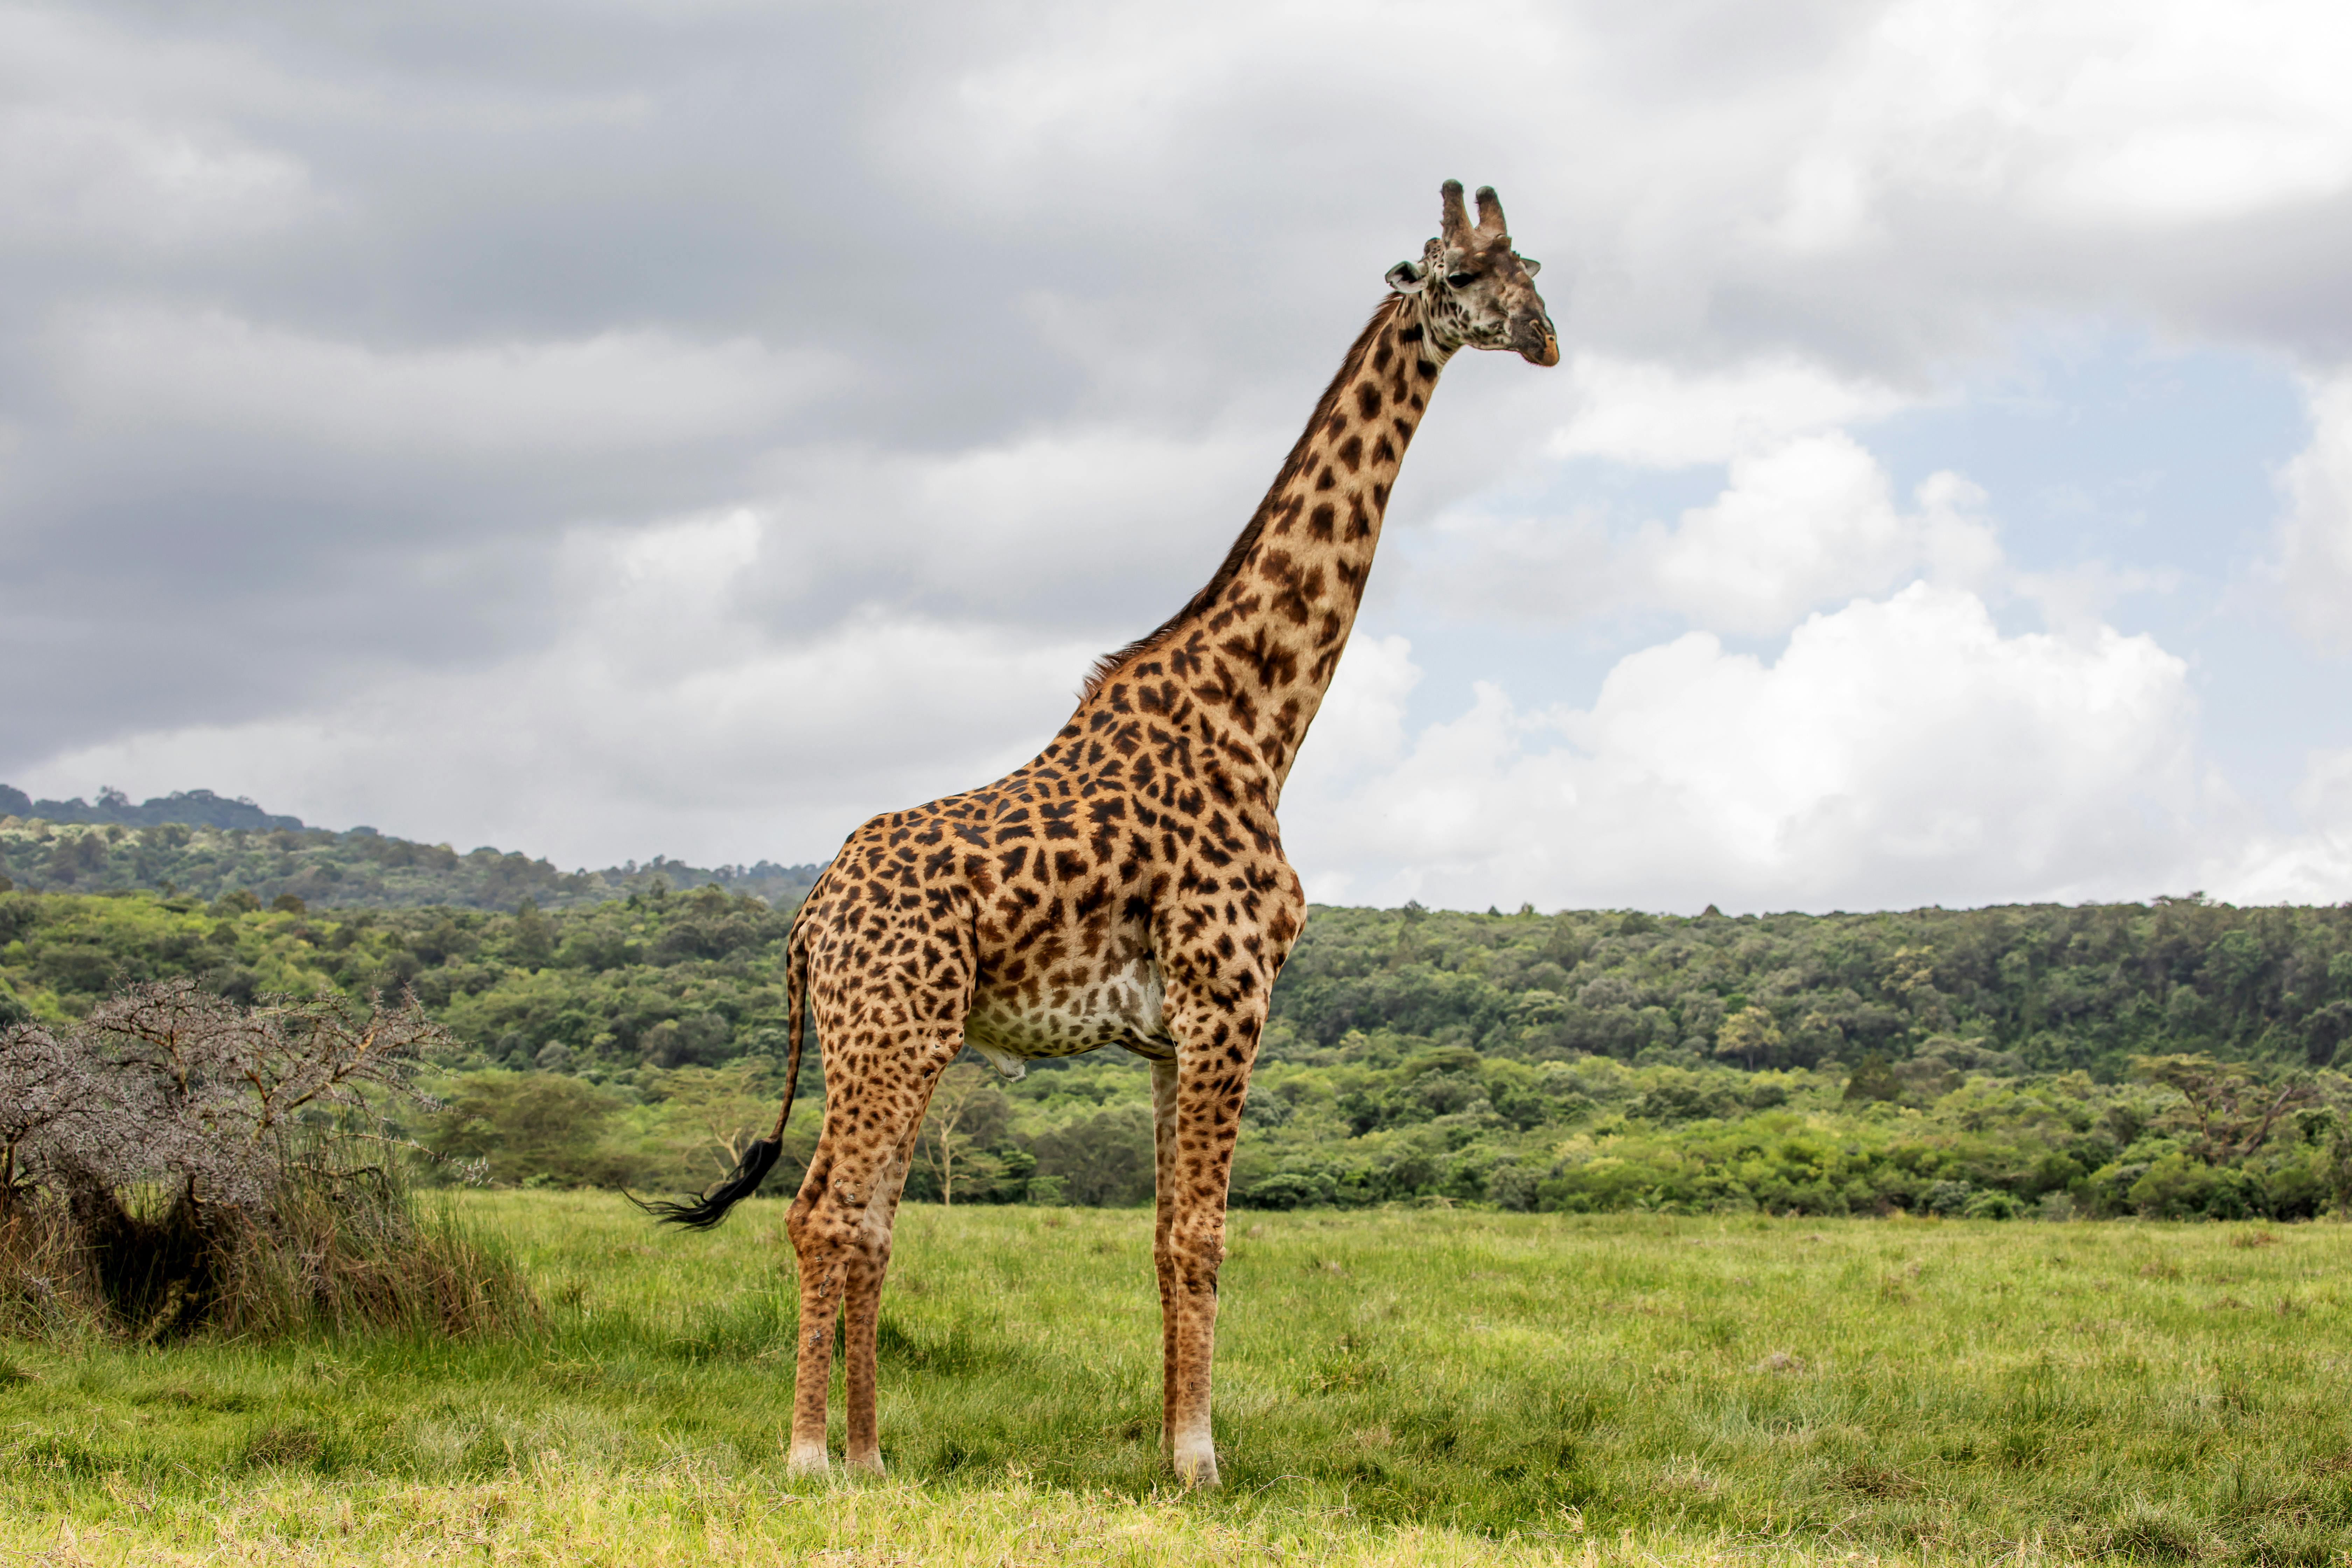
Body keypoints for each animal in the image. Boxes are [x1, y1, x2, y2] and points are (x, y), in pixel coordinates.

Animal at [639, 180, 1558, 1487]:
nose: (1543, 339)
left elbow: (1166, 1239)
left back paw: (872, 1456)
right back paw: (812, 1460)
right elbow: (1205, 1239)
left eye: (1532, 269)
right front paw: (1202, 1461)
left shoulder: (1175, 1035)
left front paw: (1173, 1451)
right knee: (825, 1213)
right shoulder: (1230, 999)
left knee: (867, 1220)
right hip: (890, 1031)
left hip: (897, 1037)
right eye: (1461, 279)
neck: (1262, 721)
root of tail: (808, 924)